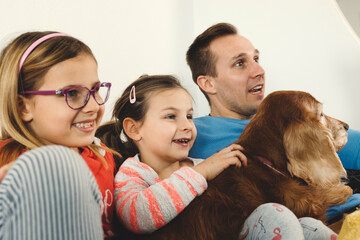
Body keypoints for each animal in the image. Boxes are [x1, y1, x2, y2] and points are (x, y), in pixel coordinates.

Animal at [117, 90, 352, 240]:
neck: (263, 160)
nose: (347, 125)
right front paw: (343, 190)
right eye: (321, 114)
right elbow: (324, 199)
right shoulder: (309, 207)